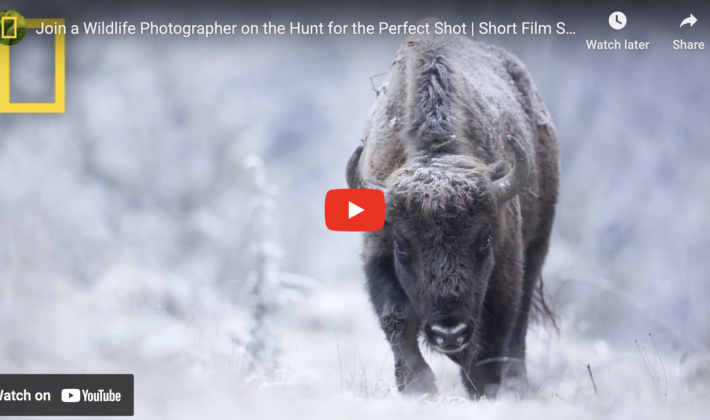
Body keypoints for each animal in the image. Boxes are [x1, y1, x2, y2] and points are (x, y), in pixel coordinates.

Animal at [346, 25, 559, 399]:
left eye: (484, 241)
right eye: (402, 246)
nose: (449, 331)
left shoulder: (506, 270)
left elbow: (493, 342)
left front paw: (486, 391)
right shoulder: (379, 255)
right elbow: (396, 319)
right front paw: (419, 387)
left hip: (538, 245)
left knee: (518, 327)